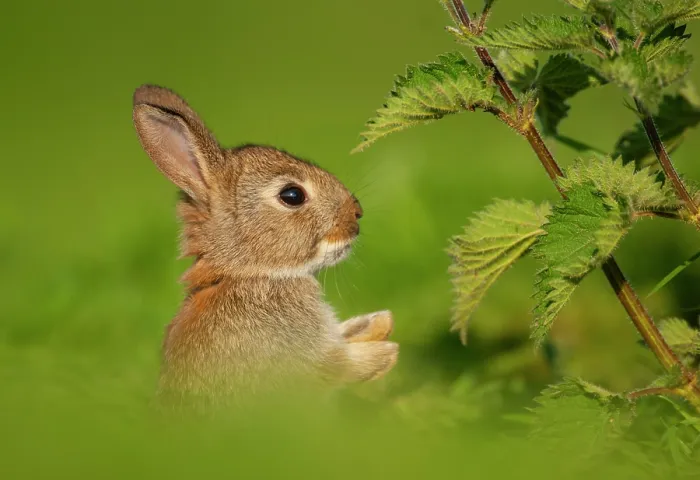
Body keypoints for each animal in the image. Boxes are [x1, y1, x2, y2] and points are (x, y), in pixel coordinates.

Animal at [132, 85, 398, 408]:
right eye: (292, 195)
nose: (356, 214)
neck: (248, 273)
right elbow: (332, 367)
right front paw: (385, 352)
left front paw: (379, 323)